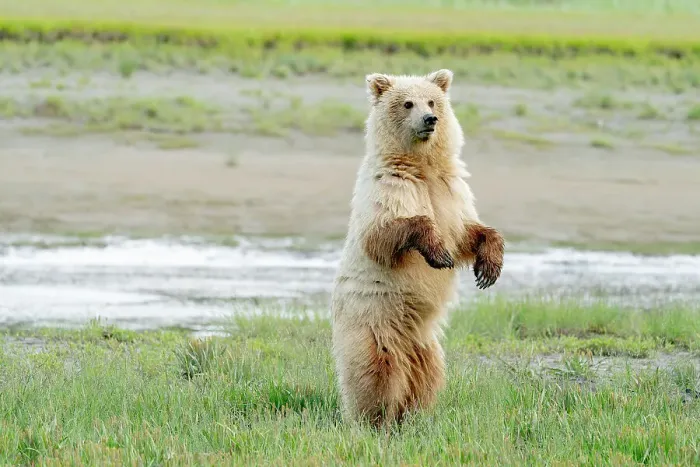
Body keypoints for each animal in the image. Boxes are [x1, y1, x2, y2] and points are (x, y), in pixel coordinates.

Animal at [330, 69, 505, 428]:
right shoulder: (390, 189)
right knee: (378, 373)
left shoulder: (451, 193)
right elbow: (382, 235)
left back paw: (415, 417)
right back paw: (376, 420)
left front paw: (489, 268)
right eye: (407, 103)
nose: (430, 119)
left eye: (432, 101)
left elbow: (467, 232)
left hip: (424, 343)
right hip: (374, 324)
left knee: (428, 376)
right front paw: (438, 253)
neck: (422, 168)